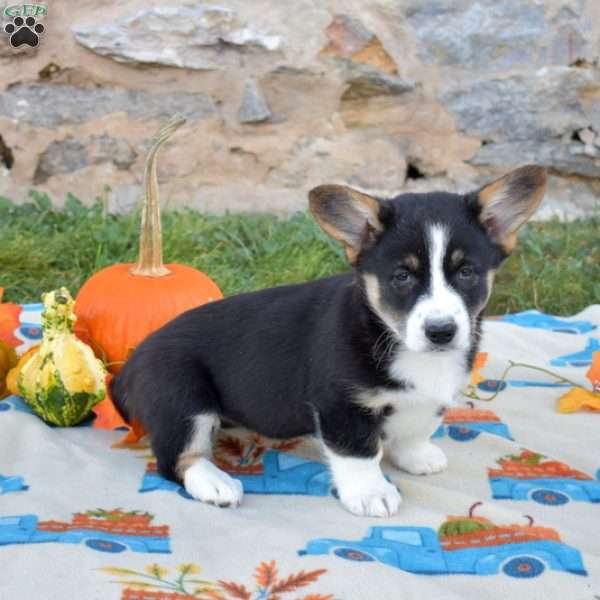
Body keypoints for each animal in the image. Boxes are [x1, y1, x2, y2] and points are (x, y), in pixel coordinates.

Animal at [112, 163, 548, 516]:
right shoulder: (341, 404)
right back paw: (215, 482)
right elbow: (360, 452)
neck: (392, 336)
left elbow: (417, 425)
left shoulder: (426, 399)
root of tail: (128, 367)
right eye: (402, 276)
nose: (441, 331)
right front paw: (372, 494)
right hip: (183, 398)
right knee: (176, 459)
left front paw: (417, 456)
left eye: (467, 272)